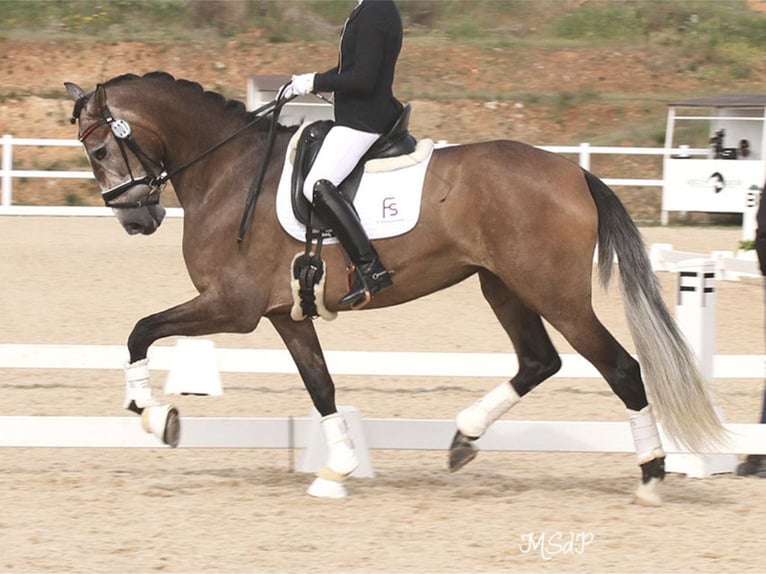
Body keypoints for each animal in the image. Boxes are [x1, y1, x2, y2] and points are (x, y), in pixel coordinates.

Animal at [66, 73, 728, 508]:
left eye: (98, 149)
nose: (138, 219)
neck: (228, 172)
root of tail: (576, 171)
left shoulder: (234, 307)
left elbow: (141, 331)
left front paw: (157, 417)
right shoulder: (285, 314)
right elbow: (321, 387)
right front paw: (336, 469)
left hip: (554, 294)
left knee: (621, 369)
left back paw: (651, 475)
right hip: (503, 286)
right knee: (539, 361)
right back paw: (464, 438)